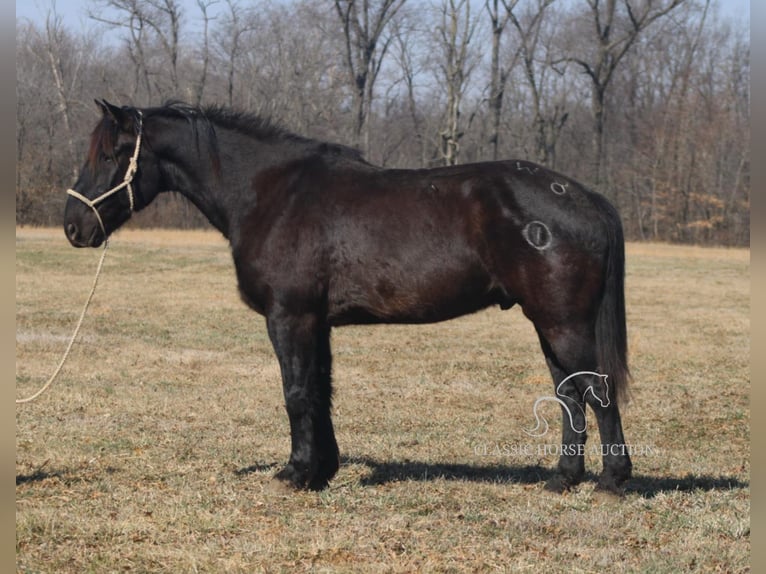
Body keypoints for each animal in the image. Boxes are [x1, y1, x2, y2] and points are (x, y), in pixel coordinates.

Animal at [64, 102, 636, 496]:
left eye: (112, 154)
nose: (74, 227)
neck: (272, 194)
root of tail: (586, 197)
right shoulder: (317, 323)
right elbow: (322, 392)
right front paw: (322, 471)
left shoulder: (290, 317)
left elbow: (296, 393)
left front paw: (295, 474)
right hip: (549, 326)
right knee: (569, 394)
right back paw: (563, 479)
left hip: (564, 324)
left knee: (597, 391)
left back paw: (612, 481)